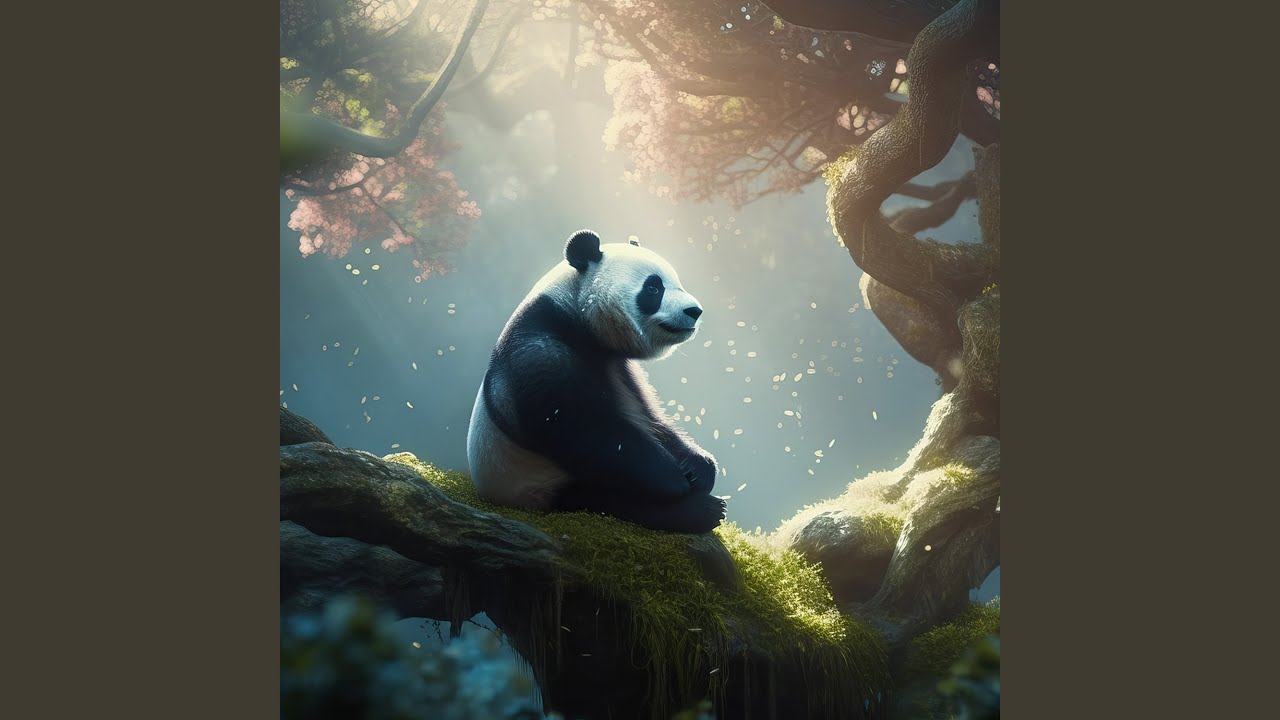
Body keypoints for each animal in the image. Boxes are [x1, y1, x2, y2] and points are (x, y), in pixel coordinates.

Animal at [466, 229, 725, 533]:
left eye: (677, 282)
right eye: (653, 288)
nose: (694, 311)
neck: (570, 308)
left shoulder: (622, 369)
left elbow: (649, 416)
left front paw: (698, 467)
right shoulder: (538, 353)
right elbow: (583, 428)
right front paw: (674, 478)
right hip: (538, 483)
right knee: (605, 499)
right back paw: (701, 511)